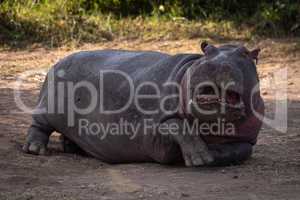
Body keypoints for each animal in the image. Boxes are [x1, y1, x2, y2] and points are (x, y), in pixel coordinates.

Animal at [22, 41, 264, 166]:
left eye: (246, 53)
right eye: (206, 49)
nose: (215, 65)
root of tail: (57, 62)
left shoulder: (247, 139)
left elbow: (241, 151)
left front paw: (210, 156)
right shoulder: (153, 132)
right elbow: (177, 125)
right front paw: (200, 157)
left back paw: (72, 147)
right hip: (48, 108)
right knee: (39, 125)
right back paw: (35, 149)